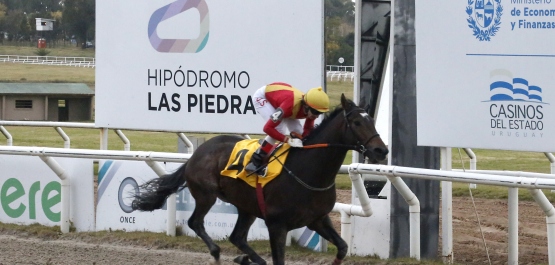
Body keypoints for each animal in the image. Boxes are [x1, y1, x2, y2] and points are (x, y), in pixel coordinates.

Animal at [132, 94, 388, 264]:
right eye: (357, 122)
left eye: (372, 120)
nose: (381, 151)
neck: (309, 171)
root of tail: (197, 153)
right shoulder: (277, 224)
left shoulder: (318, 219)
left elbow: (343, 247)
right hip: (207, 195)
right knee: (196, 222)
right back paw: (217, 252)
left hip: (247, 207)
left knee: (236, 237)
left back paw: (246, 258)